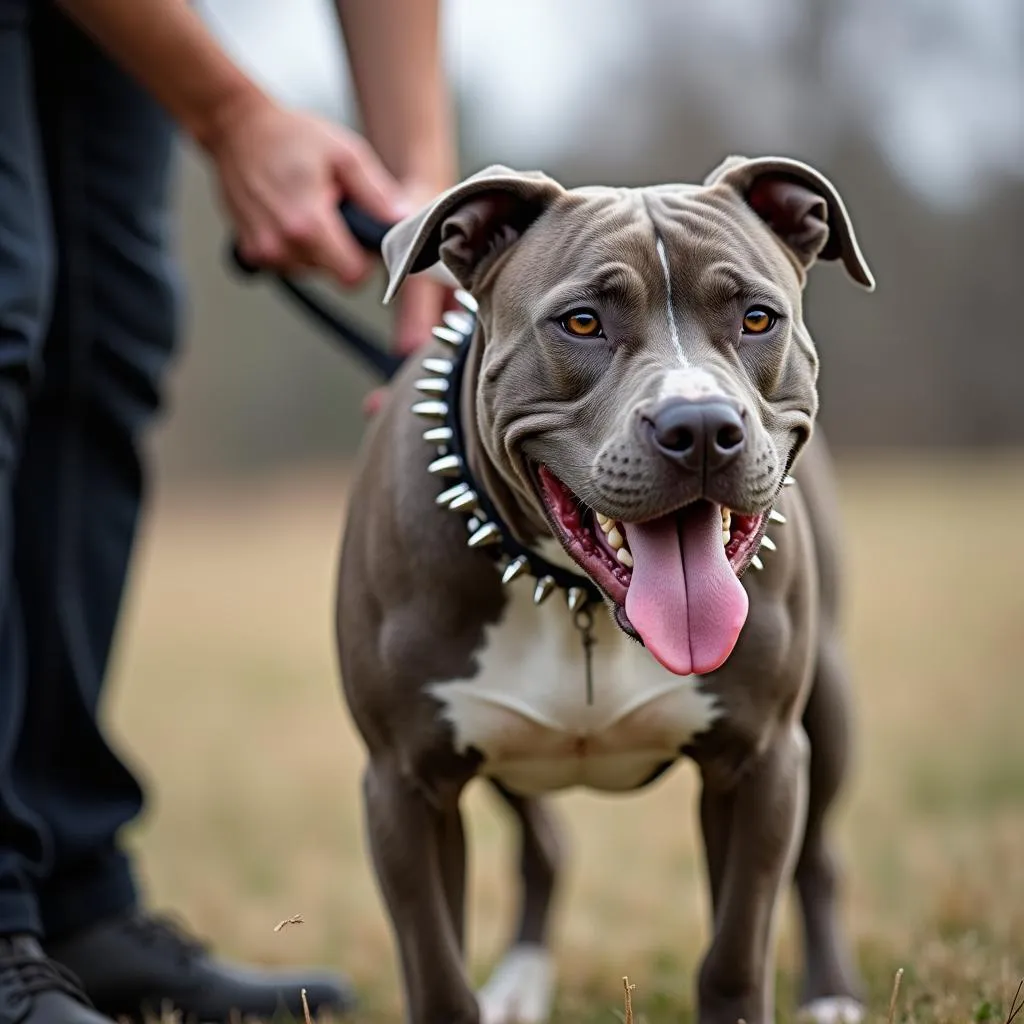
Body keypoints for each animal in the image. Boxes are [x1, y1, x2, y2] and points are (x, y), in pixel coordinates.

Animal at [333, 153, 872, 1024]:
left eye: (758, 318)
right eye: (582, 323)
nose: (700, 425)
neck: (579, 600)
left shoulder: (758, 762)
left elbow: (735, 950)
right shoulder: (405, 785)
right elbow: (437, 972)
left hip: (825, 699)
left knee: (818, 856)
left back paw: (829, 997)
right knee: (544, 846)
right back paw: (521, 983)